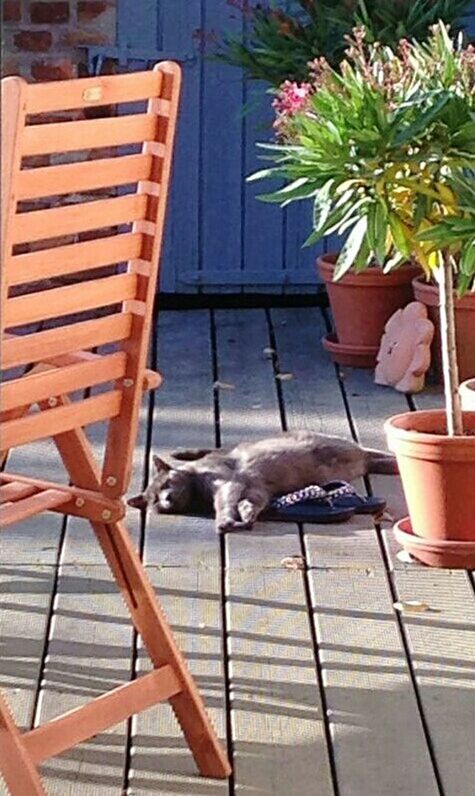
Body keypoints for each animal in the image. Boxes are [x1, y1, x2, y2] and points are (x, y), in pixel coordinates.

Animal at [127, 432, 398, 532]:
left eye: (165, 485)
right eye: (154, 501)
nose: (165, 499)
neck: (198, 495)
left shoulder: (228, 481)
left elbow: (224, 503)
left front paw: (225, 521)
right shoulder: (257, 489)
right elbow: (252, 502)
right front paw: (246, 515)